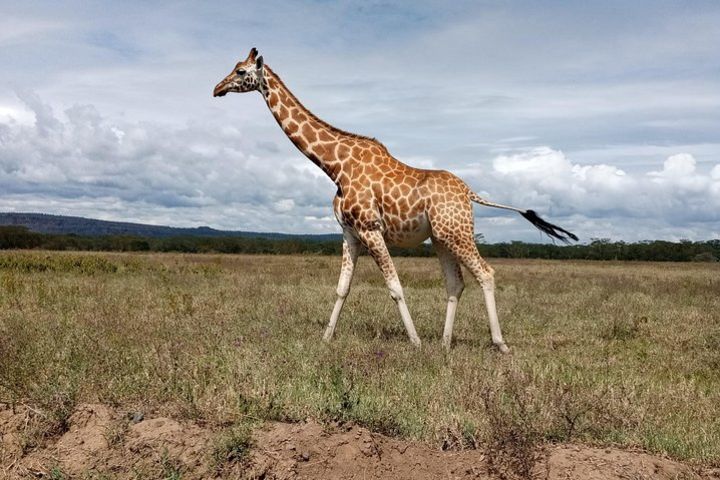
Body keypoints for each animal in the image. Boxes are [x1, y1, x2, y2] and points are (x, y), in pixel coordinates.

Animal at [211, 48, 576, 352]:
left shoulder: (371, 229)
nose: (217, 89)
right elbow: (342, 287)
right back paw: (444, 343)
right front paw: (326, 338)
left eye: (241, 71)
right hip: (442, 238)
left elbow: (395, 286)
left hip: (457, 233)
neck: (334, 166)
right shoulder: (350, 232)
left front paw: (414, 341)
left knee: (485, 273)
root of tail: (470, 193)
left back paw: (499, 344)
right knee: (455, 283)